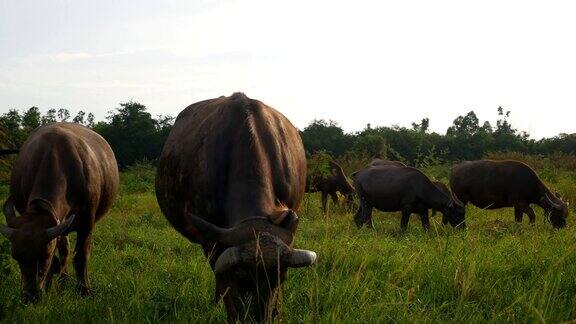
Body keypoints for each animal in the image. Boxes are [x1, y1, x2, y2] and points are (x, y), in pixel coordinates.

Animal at [0, 123, 118, 302]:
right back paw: (63, 280)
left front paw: (84, 289)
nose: (30, 297)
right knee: (64, 251)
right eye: (16, 256)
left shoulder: (87, 220)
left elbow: (81, 256)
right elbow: (60, 257)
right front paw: (50, 287)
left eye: (45, 256)